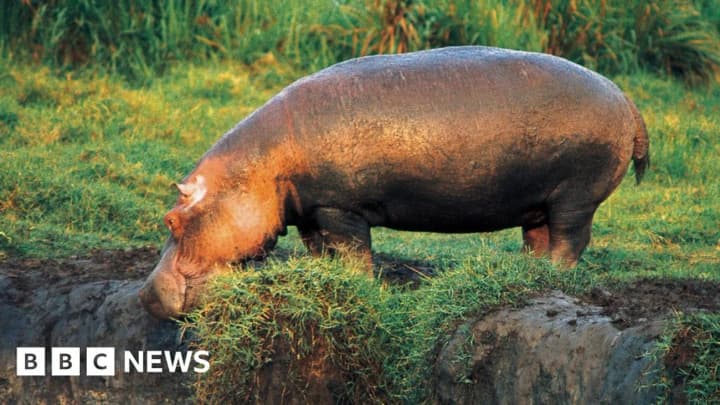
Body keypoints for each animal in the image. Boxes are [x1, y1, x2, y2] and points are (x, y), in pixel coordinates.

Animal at [139, 46, 649, 319]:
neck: (260, 167)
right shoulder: (310, 210)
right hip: (538, 201)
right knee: (538, 238)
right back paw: (529, 275)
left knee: (570, 241)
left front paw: (357, 285)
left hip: (575, 196)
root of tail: (625, 96)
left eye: (171, 219)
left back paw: (555, 277)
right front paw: (324, 278)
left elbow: (352, 251)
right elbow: (317, 249)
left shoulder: (341, 207)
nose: (144, 294)